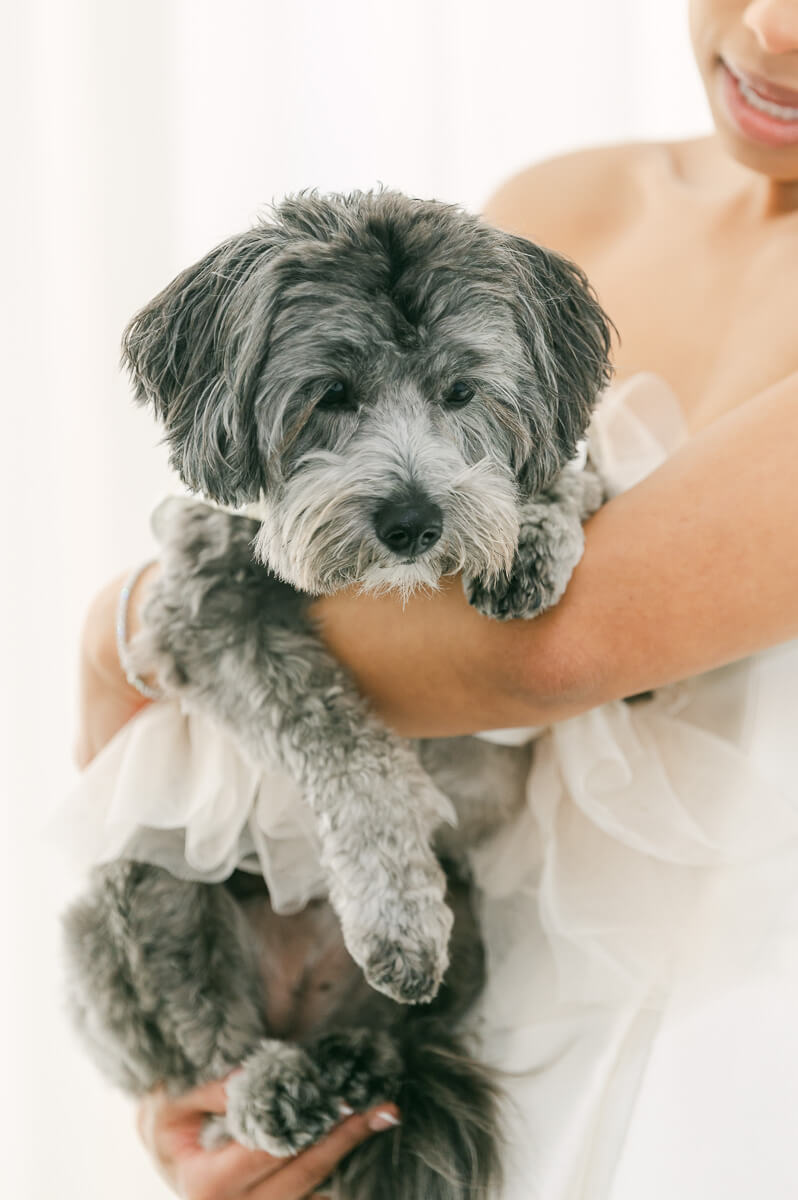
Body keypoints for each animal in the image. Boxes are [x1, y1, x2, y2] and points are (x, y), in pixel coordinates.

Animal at [63, 192, 609, 1195]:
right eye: (331, 394)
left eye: (461, 392)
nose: (413, 521)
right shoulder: (209, 609)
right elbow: (344, 750)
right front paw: (397, 919)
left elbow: (572, 472)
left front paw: (528, 532)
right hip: (131, 888)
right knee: (203, 1044)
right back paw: (276, 1089)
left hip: (475, 934)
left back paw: (357, 1063)